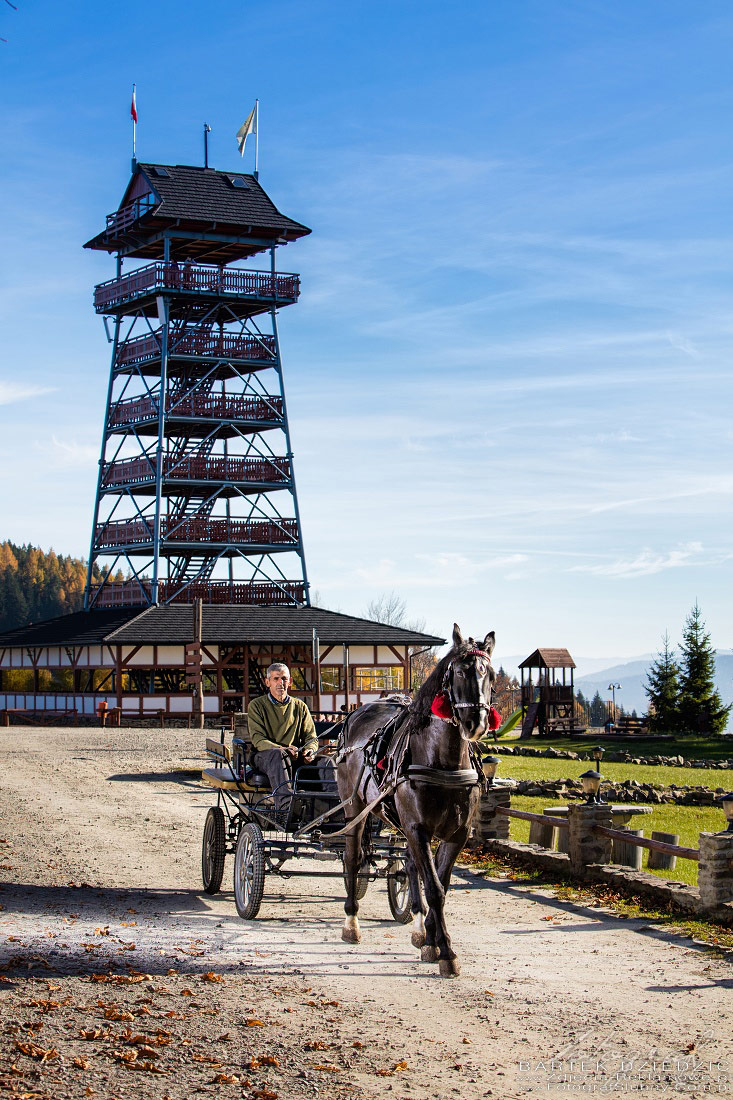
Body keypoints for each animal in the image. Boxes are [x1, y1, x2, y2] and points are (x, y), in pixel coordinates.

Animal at [334, 624, 493, 976]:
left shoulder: (456, 834)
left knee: (408, 864)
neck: (443, 760)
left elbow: (440, 885)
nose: (475, 723)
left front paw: (432, 940)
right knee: (352, 857)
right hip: (354, 808)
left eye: (489, 674)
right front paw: (446, 951)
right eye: (459, 672)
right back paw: (351, 923)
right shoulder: (418, 828)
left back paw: (420, 931)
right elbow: (434, 888)